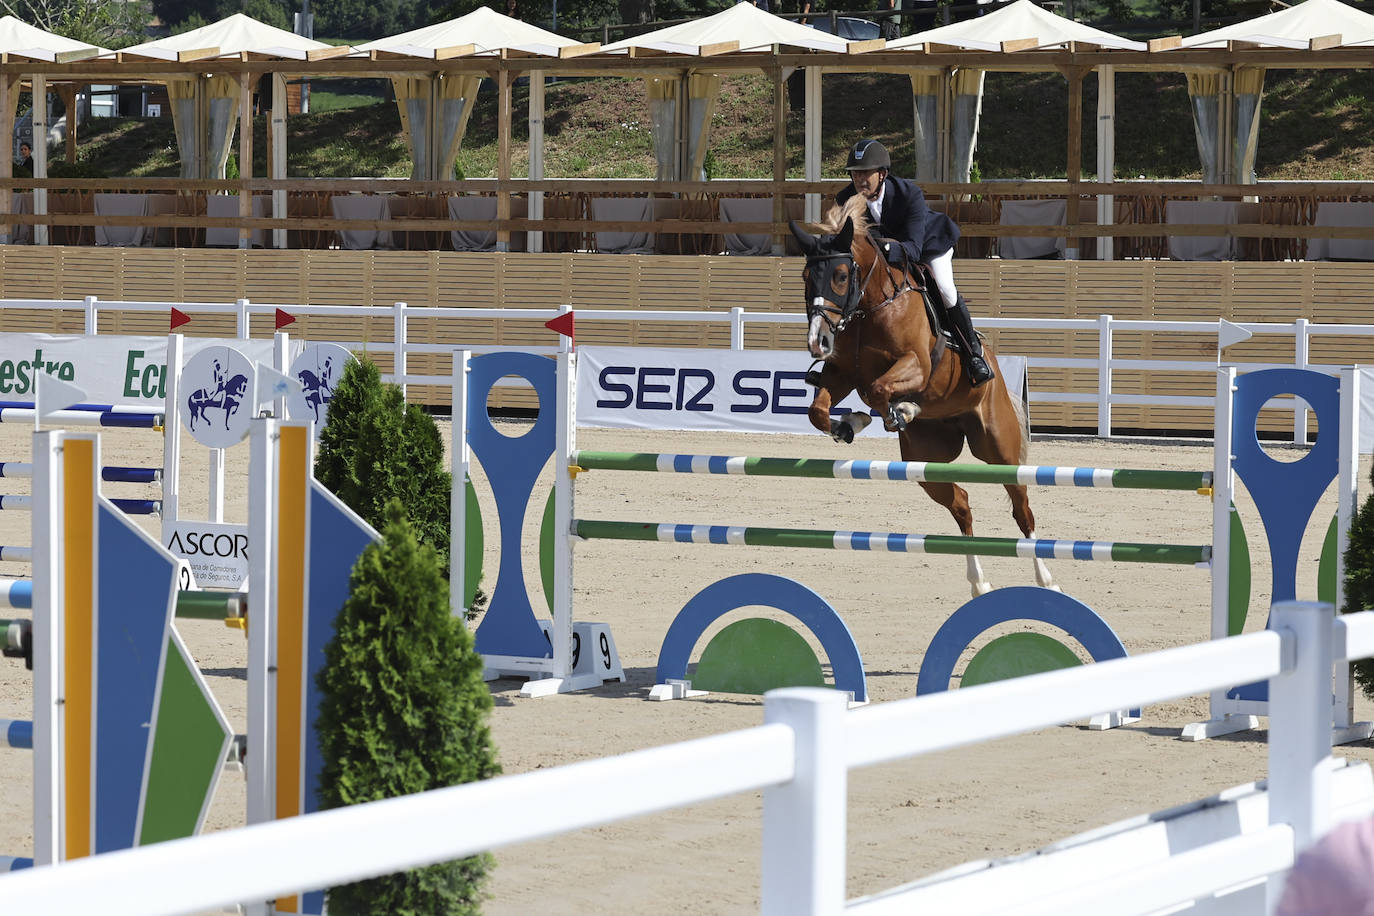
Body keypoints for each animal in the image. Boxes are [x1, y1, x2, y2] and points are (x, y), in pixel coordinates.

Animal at [791, 201, 1055, 598]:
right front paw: (851, 424)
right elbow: (818, 411)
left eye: (840, 275)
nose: (817, 342)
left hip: (998, 448)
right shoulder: (842, 374)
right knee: (961, 503)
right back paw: (980, 582)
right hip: (925, 461)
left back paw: (1046, 579)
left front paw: (898, 409)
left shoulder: (916, 364)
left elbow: (878, 389)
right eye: (807, 276)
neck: (871, 305)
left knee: (1021, 507)